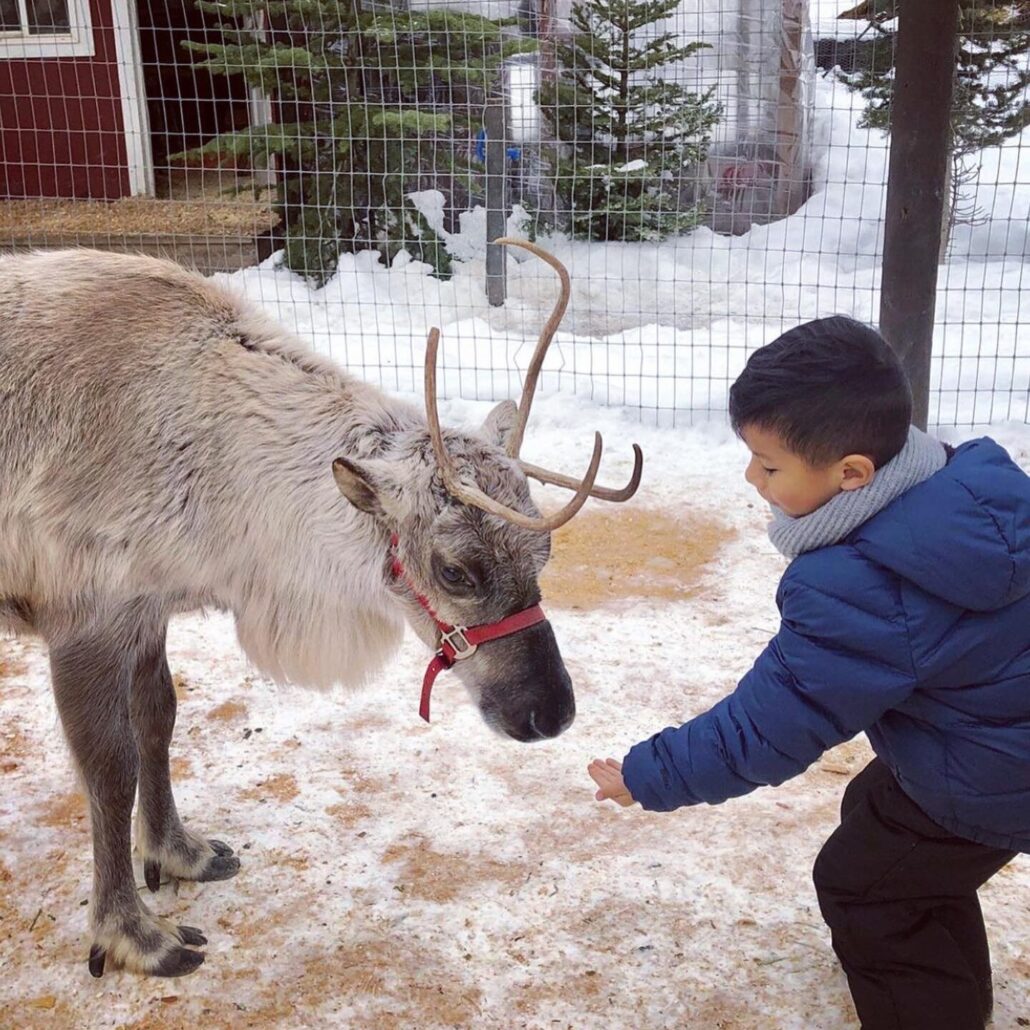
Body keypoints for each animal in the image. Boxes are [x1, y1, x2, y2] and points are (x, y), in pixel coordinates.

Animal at [0, 239, 642, 978]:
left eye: (545, 553)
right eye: (455, 569)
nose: (551, 712)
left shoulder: (146, 606)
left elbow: (158, 721)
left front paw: (179, 852)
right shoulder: (87, 615)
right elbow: (110, 768)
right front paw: (131, 932)